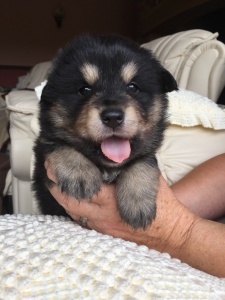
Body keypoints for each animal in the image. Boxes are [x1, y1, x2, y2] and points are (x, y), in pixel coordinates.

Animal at [32, 34, 178, 227]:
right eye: (84, 89)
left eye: (133, 87)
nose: (113, 117)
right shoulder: (44, 151)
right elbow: (58, 145)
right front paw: (79, 173)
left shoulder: (146, 151)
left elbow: (143, 162)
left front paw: (138, 202)